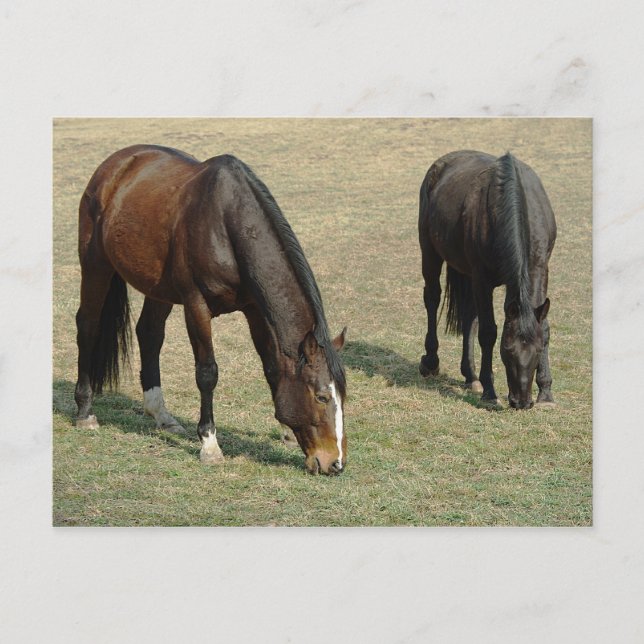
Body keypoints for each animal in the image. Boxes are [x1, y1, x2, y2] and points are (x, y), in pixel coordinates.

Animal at [74, 145, 347, 475]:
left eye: (343, 396)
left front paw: (286, 432)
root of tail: (115, 164)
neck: (227, 223)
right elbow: (207, 373)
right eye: (321, 397)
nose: (335, 463)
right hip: (95, 265)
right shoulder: (196, 306)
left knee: (149, 334)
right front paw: (209, 444)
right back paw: (85, 412)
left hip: (158, 288)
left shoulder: (254, 310)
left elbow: (271, 366)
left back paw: (161, 415)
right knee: (88, 327)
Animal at [418, 150, 557, 409]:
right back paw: (431, 362)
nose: (522, 402)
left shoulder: (540, 270)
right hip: (430, 252)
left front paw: (546, 393)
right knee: (432, 298)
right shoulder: (482, 280)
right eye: (508, 350)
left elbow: (543, 326)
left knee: (468, 317)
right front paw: (490, 393)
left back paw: (471, 376)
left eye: (537, 350)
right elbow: (488, 332)